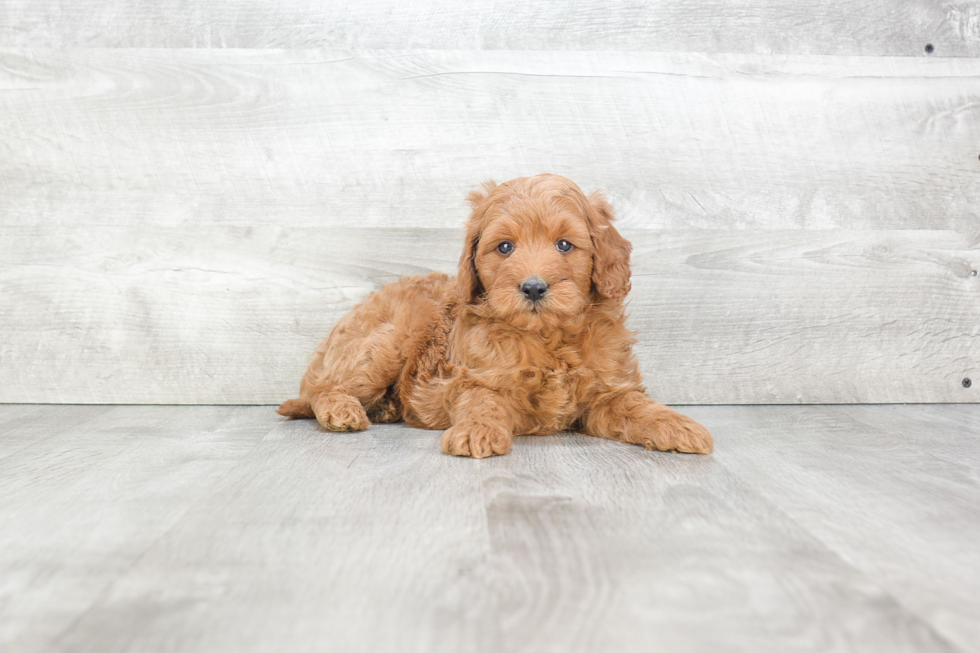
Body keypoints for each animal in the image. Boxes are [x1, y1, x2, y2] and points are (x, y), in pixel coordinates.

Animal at [280, 173, 716, 458]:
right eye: (504, 247)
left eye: (564, 245)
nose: (534, 287)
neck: (547, 337)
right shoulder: (477, 377)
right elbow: (482, 403)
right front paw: (476, 432)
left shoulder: (608, 389)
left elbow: (634, 406)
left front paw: (677, 425)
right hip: (384, 343)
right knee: (320, 389)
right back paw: (343, 410)